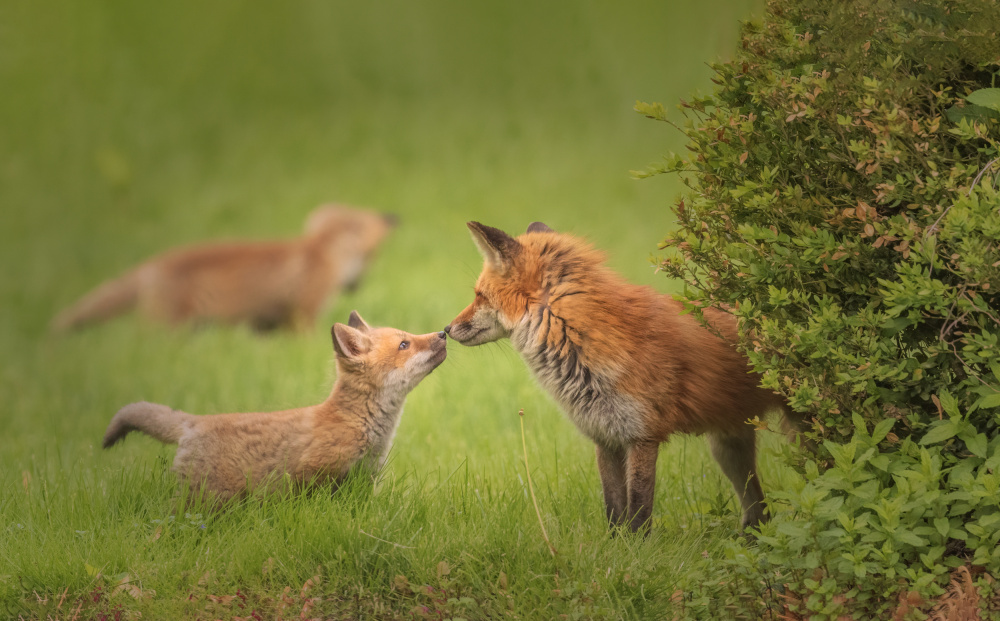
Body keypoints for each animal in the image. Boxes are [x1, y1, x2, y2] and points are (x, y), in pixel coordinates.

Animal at [50, 205, 394, 332]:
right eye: (373, 255)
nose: (392, 216)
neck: (318, 250)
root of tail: (153, 264)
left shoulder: (266, 326)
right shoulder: (305, 313)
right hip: (170, 326)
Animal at [103, 310, 448, 504]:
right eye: (404, 344)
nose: (443, 333)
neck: (360, 425)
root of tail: (194, 422)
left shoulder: (365, 480)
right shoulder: (313, 475)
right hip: (204, 501)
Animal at [446, 220, 788, 532]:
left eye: (479, 295)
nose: (447, 329)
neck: (583, 340)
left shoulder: (642, 436)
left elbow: (638, 512)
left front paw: (637, 554)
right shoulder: (605, 436)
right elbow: (613, 509)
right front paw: (615, 549)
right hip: (728, 448)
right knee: (759, 512)